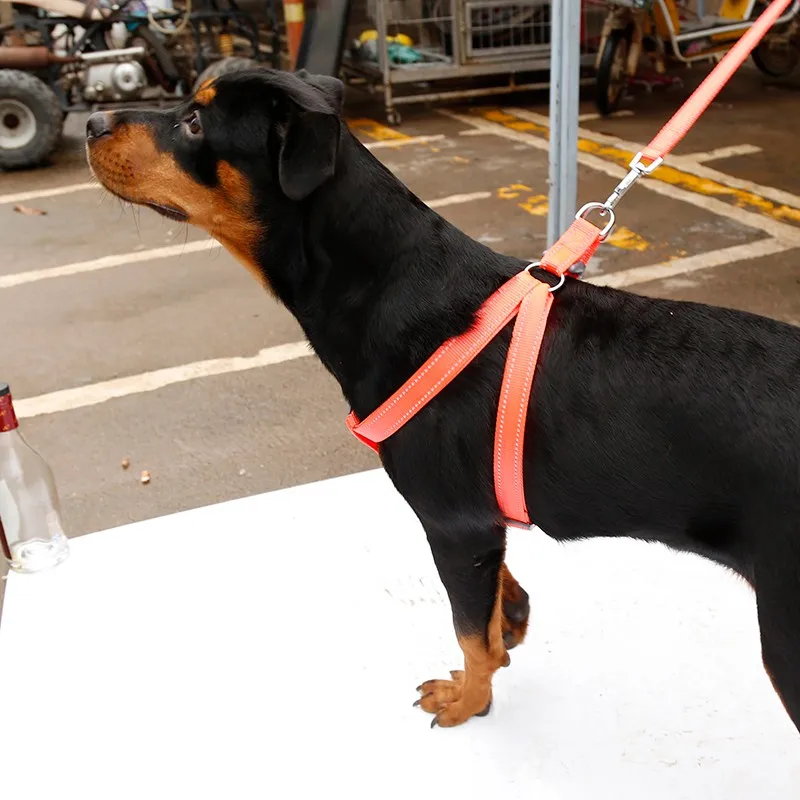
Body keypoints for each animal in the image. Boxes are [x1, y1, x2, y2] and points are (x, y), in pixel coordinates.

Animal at [86, 72, 800, 736]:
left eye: (195, 122)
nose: (92, 122)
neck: (381, 284)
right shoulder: (478, 523)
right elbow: (491, 604)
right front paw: (510, 622)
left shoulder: (452, 522)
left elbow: (466, 630)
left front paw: (469, 701)